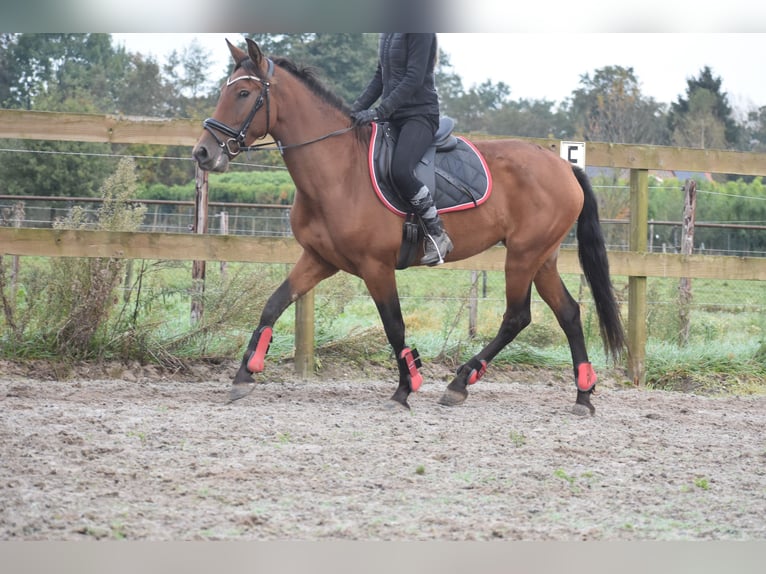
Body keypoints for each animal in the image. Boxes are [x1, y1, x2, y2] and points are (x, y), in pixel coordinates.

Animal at [190, 40, 624, 416]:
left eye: (243, 93)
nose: (203, 152)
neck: (338, 169)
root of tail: (564, 166)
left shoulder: (376, 266)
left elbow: (394, 325)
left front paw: (404, 388)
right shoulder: (319, 259)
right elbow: (273, 305)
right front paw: (244, 376)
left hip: (522, 255)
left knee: (517, 317)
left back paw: (461, 382)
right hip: (541, 258)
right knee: (568, 313)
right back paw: (582, 395)